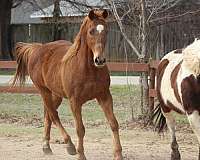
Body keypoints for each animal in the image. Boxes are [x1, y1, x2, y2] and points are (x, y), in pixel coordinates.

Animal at [12, 9, 122, 159]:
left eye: (106, 30)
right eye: (91, 31)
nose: (100, 60)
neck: (88, 69)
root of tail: (37, 48)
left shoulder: (104, 96)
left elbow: (113, 123)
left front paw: (118, 154)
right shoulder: (74, 101)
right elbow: (80, 129)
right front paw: (80, 155)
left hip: (56, 94)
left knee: (48, 115)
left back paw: (46, 147)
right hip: (44, 91)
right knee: (53, 115)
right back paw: (69, 145)